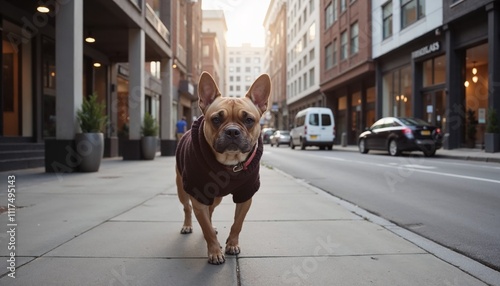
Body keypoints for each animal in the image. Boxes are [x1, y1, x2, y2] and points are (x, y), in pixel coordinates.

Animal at [175, 71, 270, 264]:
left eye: (249, 120)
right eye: (216, 119)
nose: (232, 131)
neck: (229, 163)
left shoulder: (245, 195)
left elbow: (237, 224)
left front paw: (232, 244)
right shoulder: (198, 195)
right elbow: (206, 228)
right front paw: (214, 252)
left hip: (216, 198)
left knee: (210, 210)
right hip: (182, 188)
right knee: (187, 208)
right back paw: (187, 225)